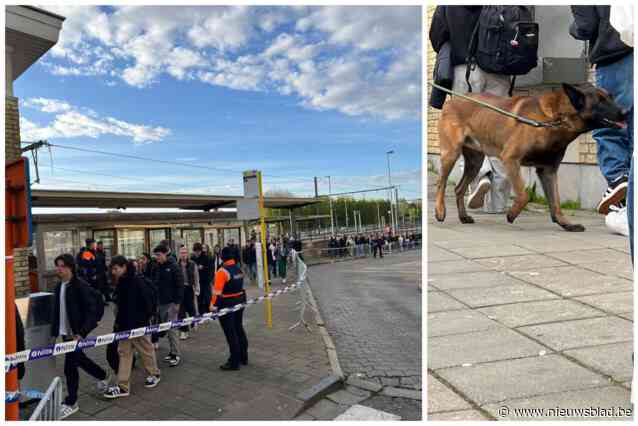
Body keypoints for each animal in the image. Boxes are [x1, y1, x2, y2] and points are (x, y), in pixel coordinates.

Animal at [436, 81, 632, 231]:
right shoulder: (511, 159)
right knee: (441, 183)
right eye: (600, 101)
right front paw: (512, 214)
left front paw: (565, 223)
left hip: (475, 162)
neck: (556, 119)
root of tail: (452, 100)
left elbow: (556, 202)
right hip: (451, 154)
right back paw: (440, 211)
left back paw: (463, 216)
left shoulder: (548, 171)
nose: (626, 112)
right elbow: (524, 195)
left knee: (458, 188)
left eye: (611, 97)